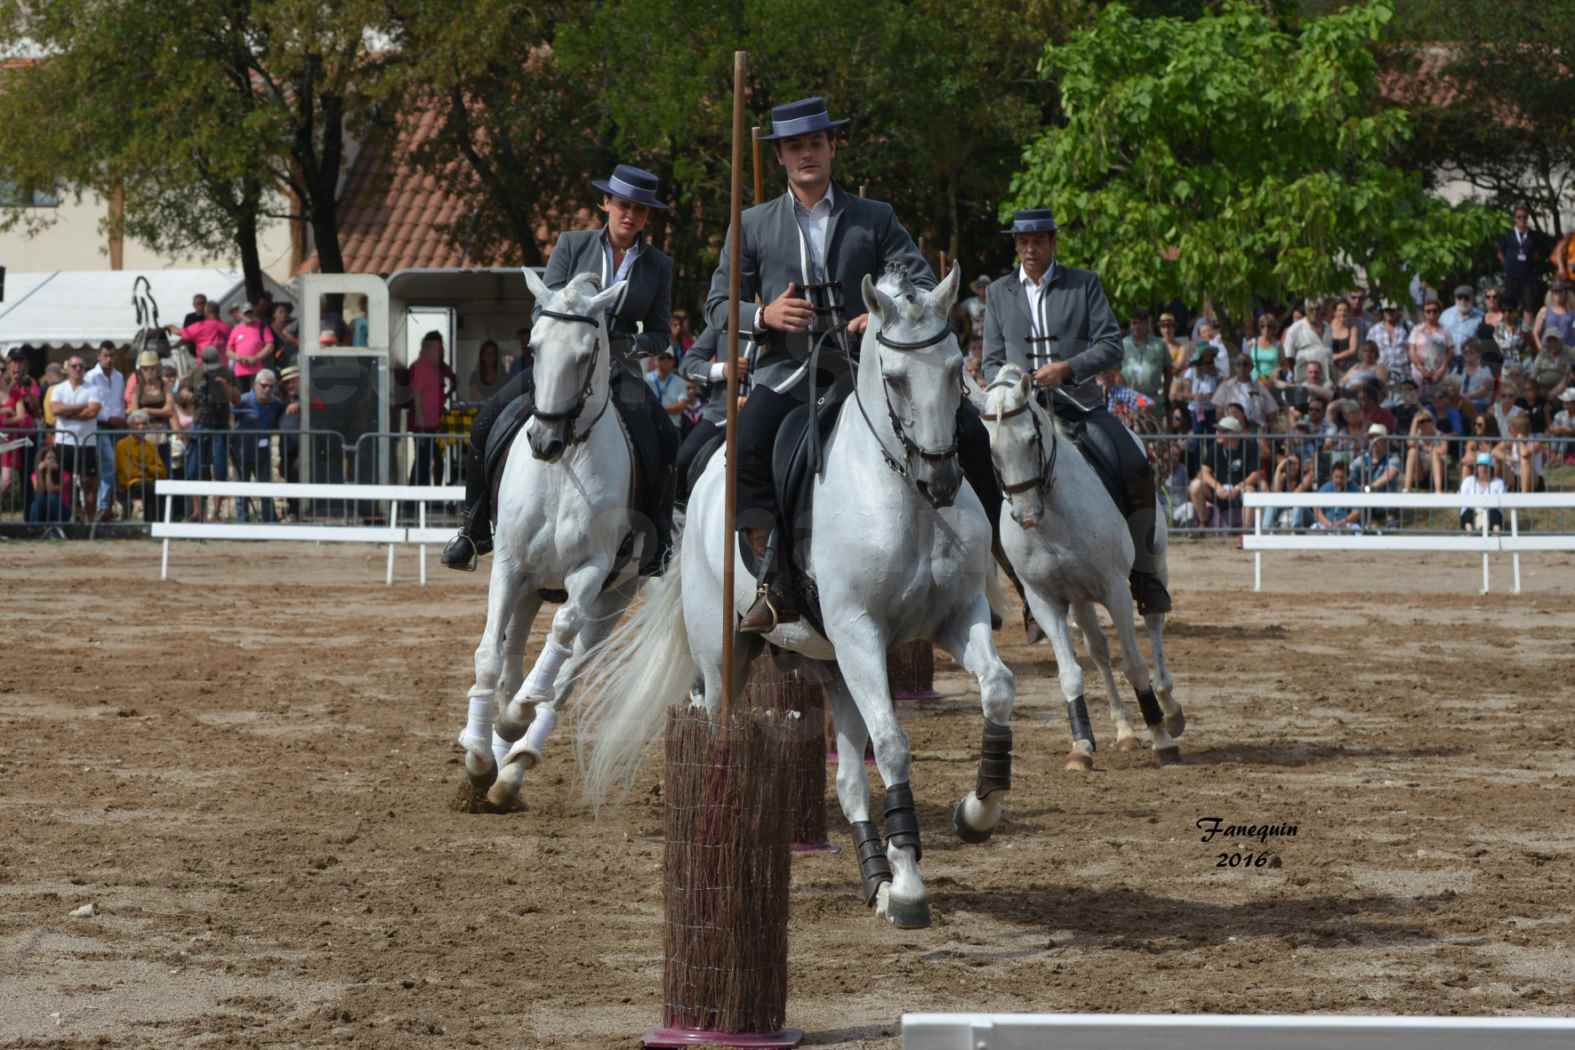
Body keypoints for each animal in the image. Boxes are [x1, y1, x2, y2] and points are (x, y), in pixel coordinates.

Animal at [456, 269, 645, 812]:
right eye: (534, 347)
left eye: (586, 354)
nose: (544, 442)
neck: (566, 466)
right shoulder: (510, 565)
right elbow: (488, 657)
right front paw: (478, 757)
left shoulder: (592, 570)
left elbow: (560, 640)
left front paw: (514, 721)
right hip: (530, 586)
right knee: (512, 656)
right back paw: (495, 760)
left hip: (614, 597)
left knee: (565, 675)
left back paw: (515, 762)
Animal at [579, 267, 1020, 931]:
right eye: (895, 378)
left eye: (952, 370)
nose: (942, 480)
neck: (901, 496)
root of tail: (702, 486)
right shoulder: (861, 632)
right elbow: (893, 744)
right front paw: (911, 888)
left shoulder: (955, 617)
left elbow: (997, 689)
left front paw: (976, 813)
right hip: (729, 657)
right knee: (722, 725)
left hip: (836, 667)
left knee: (850, 783)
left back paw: (876, 879)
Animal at [982, 369, 1184, 771]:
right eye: (993, 449)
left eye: (1031, 439)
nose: (1026, 515)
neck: (1053, 518)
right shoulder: (1045, 601)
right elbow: (1071, 674)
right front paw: (1081, 747)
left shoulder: (1115, 590)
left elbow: (1134, 664)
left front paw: (1161, 739)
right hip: (1080, 599)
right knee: (1099, 651)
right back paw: (1124, 732)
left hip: (1153, 565)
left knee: (1154, 626)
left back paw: (1169, 710)